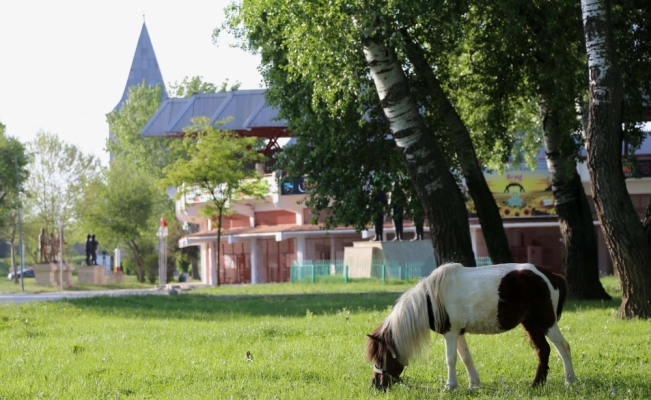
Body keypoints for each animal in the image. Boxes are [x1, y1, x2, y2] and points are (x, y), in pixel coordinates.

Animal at [370, 260, 580, 390]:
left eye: (381, 357)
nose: (376, 385)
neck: (432, 298)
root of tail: (550, 275)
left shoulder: (450, 333)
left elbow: (451, 359)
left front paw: (450, 386)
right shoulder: (458, 332)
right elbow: (466, 358)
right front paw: (473, 385)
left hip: (546, 321)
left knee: (563, 347)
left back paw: (570, 381)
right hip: (530, 323)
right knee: (543, 350)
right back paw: (536, 384)